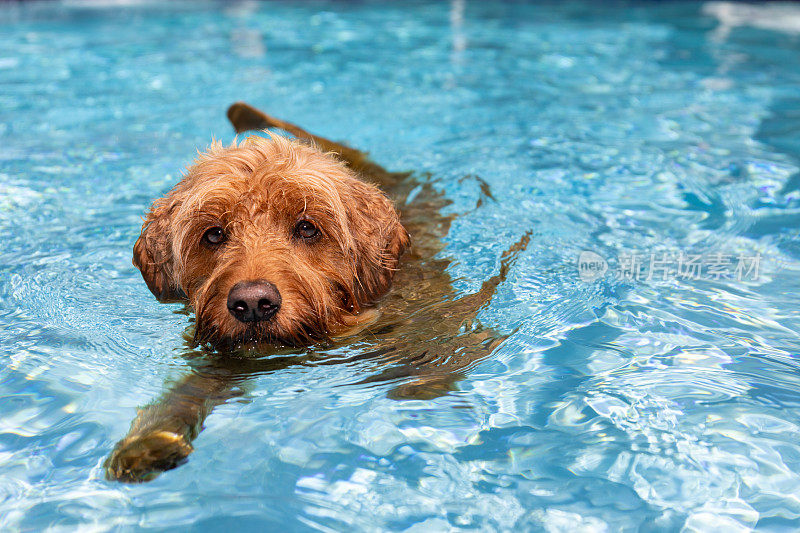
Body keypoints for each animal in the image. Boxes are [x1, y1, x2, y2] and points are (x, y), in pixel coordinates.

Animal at [106, 104, 532, 482]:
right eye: (213, 234)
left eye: (307, 227)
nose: (253, 304)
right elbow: (190, 390)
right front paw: (151, 441)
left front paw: (426, 382)